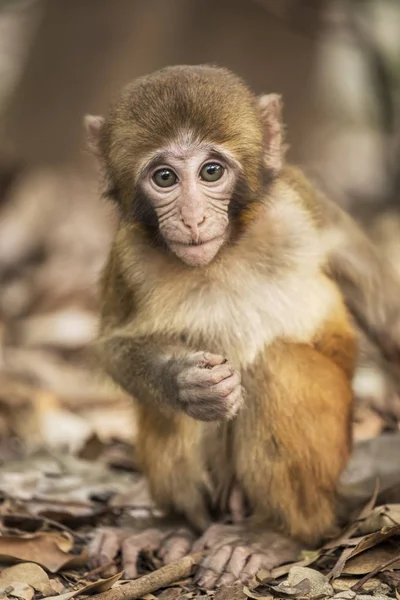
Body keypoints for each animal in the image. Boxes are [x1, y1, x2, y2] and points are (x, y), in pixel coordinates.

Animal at [86, 64, 400, 584]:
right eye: (165, 177)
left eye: (211, 171)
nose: (193, 218)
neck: (227, 247)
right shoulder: (128, 253)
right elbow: (116, 346)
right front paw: (188, 382)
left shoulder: (300, 201)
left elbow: (381, 305)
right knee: (169, 412)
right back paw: (172, 524)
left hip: (330, 459)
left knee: (278, 366)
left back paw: (275, 534)